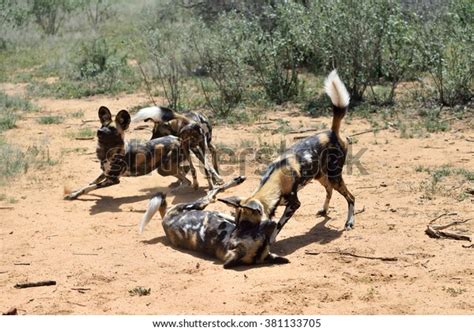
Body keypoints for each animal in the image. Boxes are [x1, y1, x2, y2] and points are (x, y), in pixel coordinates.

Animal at [64, 107, 192, 200]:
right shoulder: (105, 174)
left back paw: (174, 190)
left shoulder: (113, 180)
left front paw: (75, 195)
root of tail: (176, 138)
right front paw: (74, 192)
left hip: (163, 169)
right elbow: (88, 184)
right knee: (185, 172)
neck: (108, 152)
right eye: (102, 126)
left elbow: (90, 187)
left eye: (112, 129)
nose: (99, 131)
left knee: (187, 180)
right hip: (167, 167)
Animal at [138, 176, 288, 270]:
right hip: (197, 205)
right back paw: (235, 181)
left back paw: (235, 181)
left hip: (197, 205)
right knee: (213, 193)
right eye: (256, 234)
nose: (272, 223)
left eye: (264, 238)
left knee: (212, 194)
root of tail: (164, 219)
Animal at [218, 70, 356, 244]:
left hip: (334, 177)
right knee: (329, 190)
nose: (232, 241)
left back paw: (349, 222)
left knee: (351, 198)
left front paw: (271, 240)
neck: (275, 182)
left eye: (246, 225)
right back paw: (324, 211)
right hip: (321, 176)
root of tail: (332, 132)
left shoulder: (294, 204)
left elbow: (278, 224)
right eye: (236, 223)